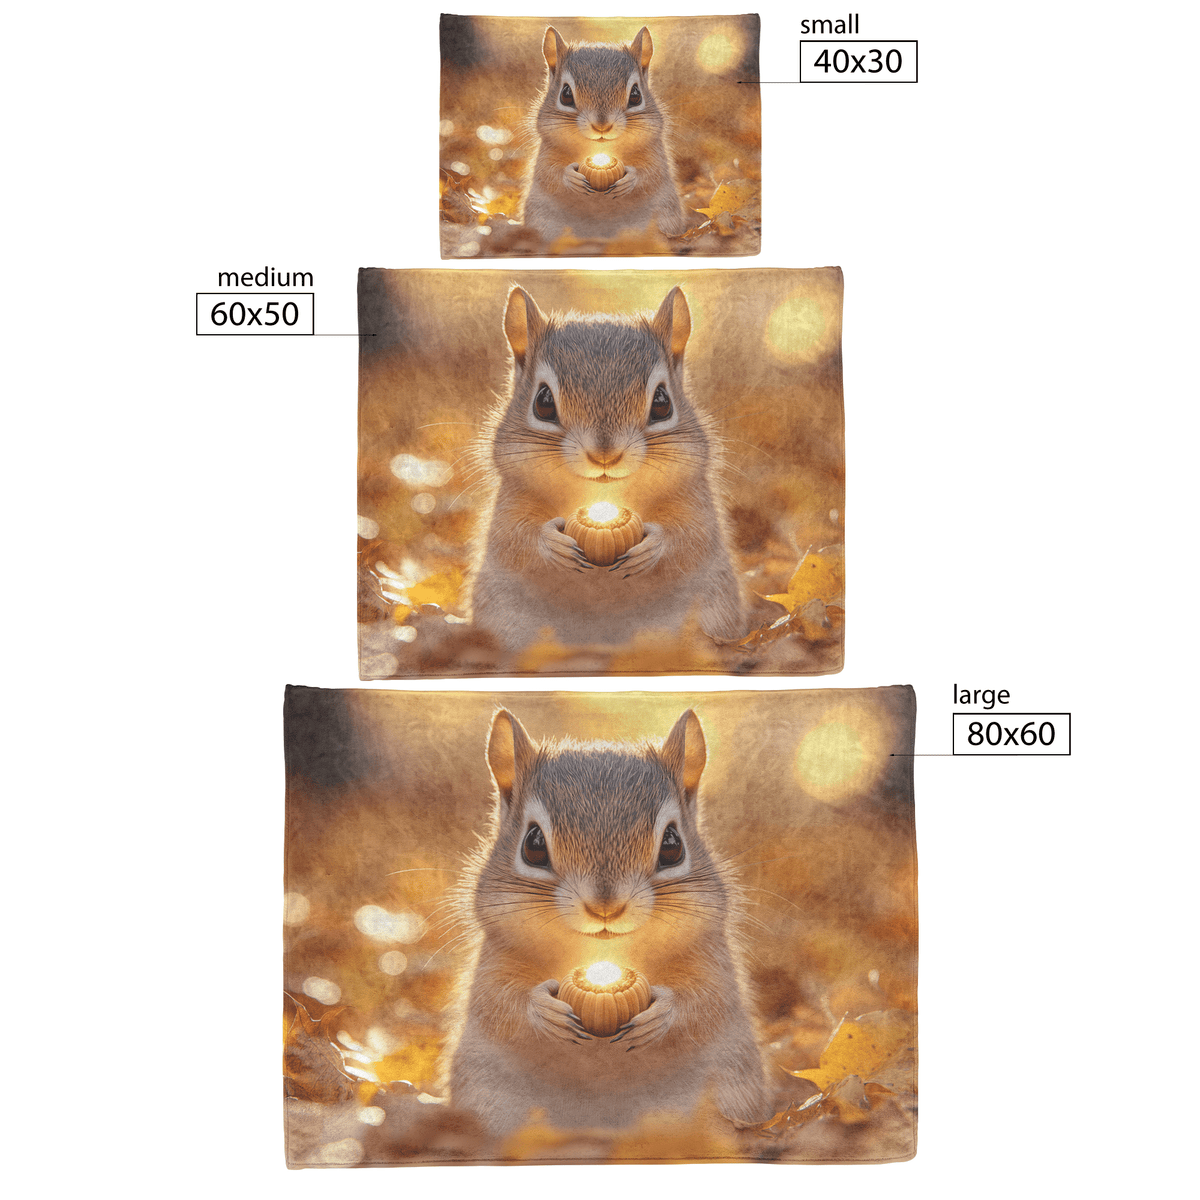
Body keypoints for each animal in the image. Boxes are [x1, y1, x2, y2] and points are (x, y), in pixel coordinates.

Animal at [446, 707, 771, 1136]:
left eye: (673, 845)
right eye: (533, 844)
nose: (605, 907)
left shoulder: (710, 956)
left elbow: (706, 1001)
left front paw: (664, 1012)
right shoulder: (496, 956)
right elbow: (498, 1001)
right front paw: (540, 1008)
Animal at [466, 284, 746, 651]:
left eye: (662, 403)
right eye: (543, 402)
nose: (605, 455)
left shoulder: (694, 498)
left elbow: (691, 538)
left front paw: (655, 545)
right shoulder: (512, 498)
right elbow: (513, 538)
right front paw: (550, 543)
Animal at [519, 26, 688, 242]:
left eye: (636, 95)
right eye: (566, 94)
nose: (602, 126)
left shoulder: (654, 151)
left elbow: (652, 173)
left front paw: (631, 178)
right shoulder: (547, 150)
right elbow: (548, 173)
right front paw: (569, 177)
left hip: (664, 216)